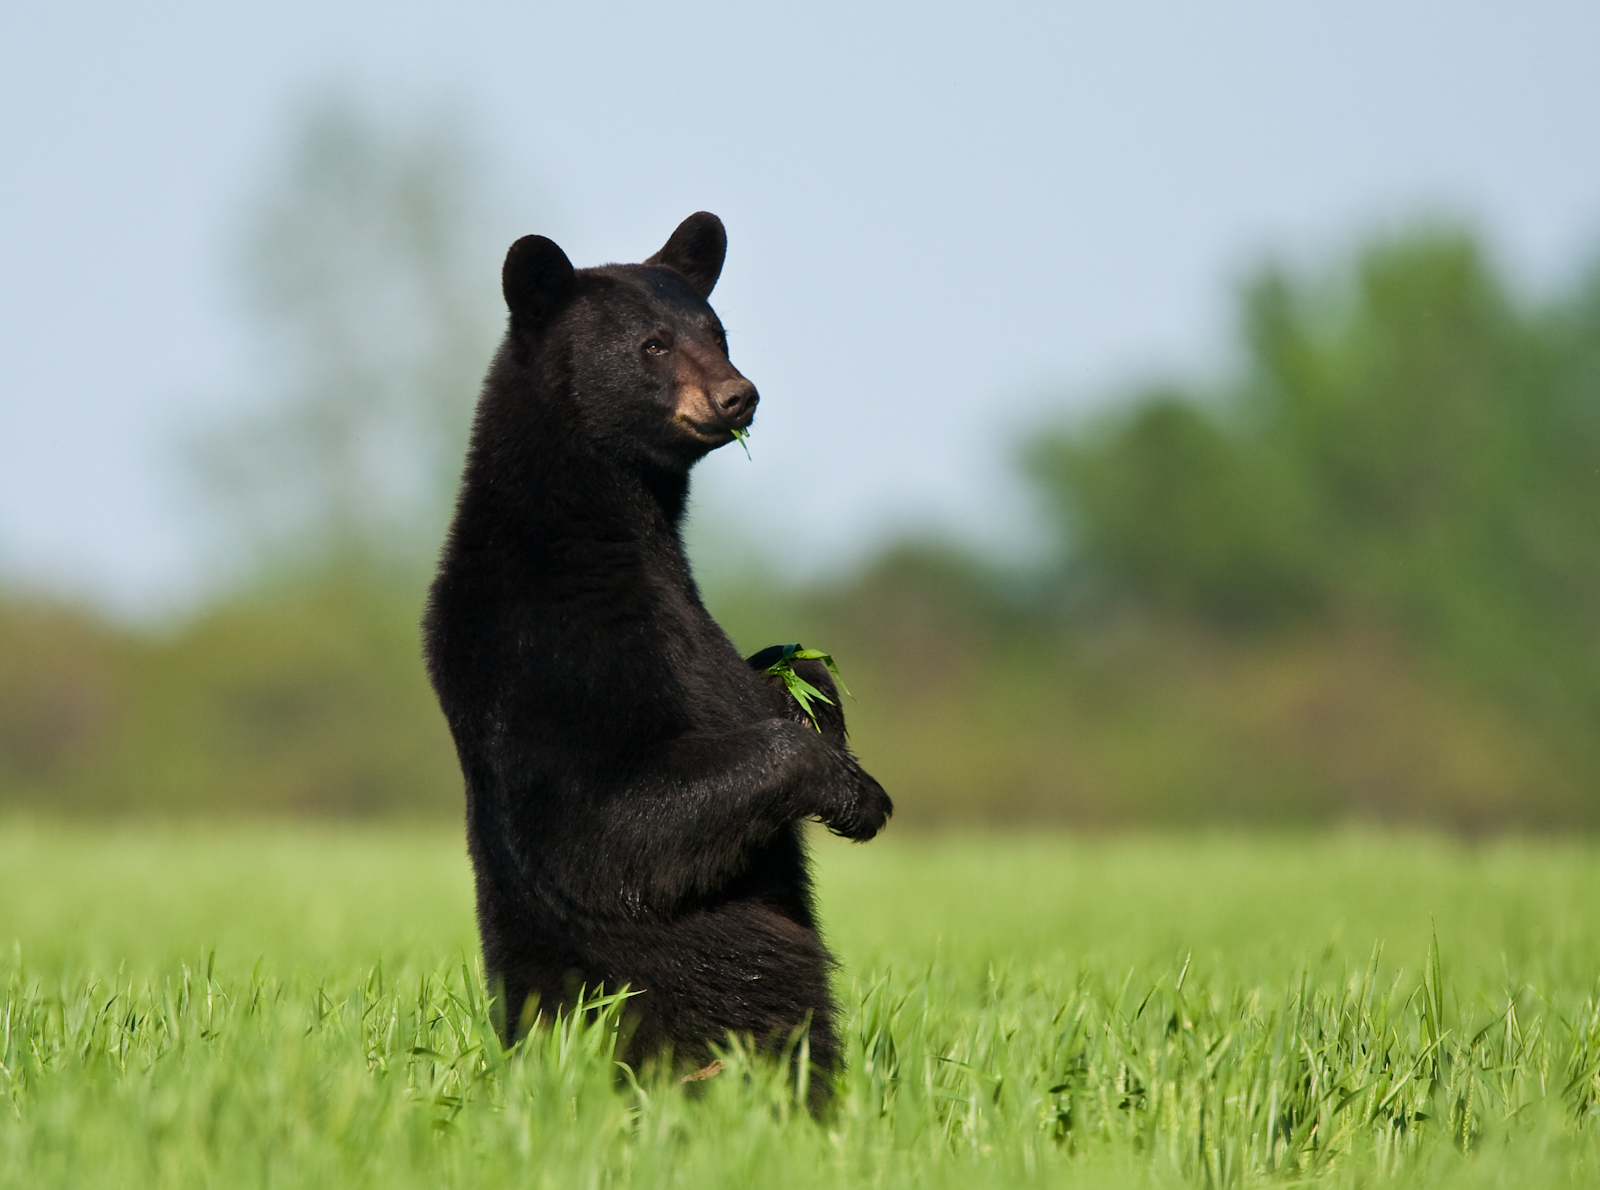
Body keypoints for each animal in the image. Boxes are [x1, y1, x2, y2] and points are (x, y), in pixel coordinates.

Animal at [422, 212, 892, 1085]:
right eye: (653, 345)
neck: (601, 527)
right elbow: (607, 823)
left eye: (718, 331)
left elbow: (767, 671)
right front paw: (851, 791)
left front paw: (815, 695)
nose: (739, 393)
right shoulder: (545, 643)